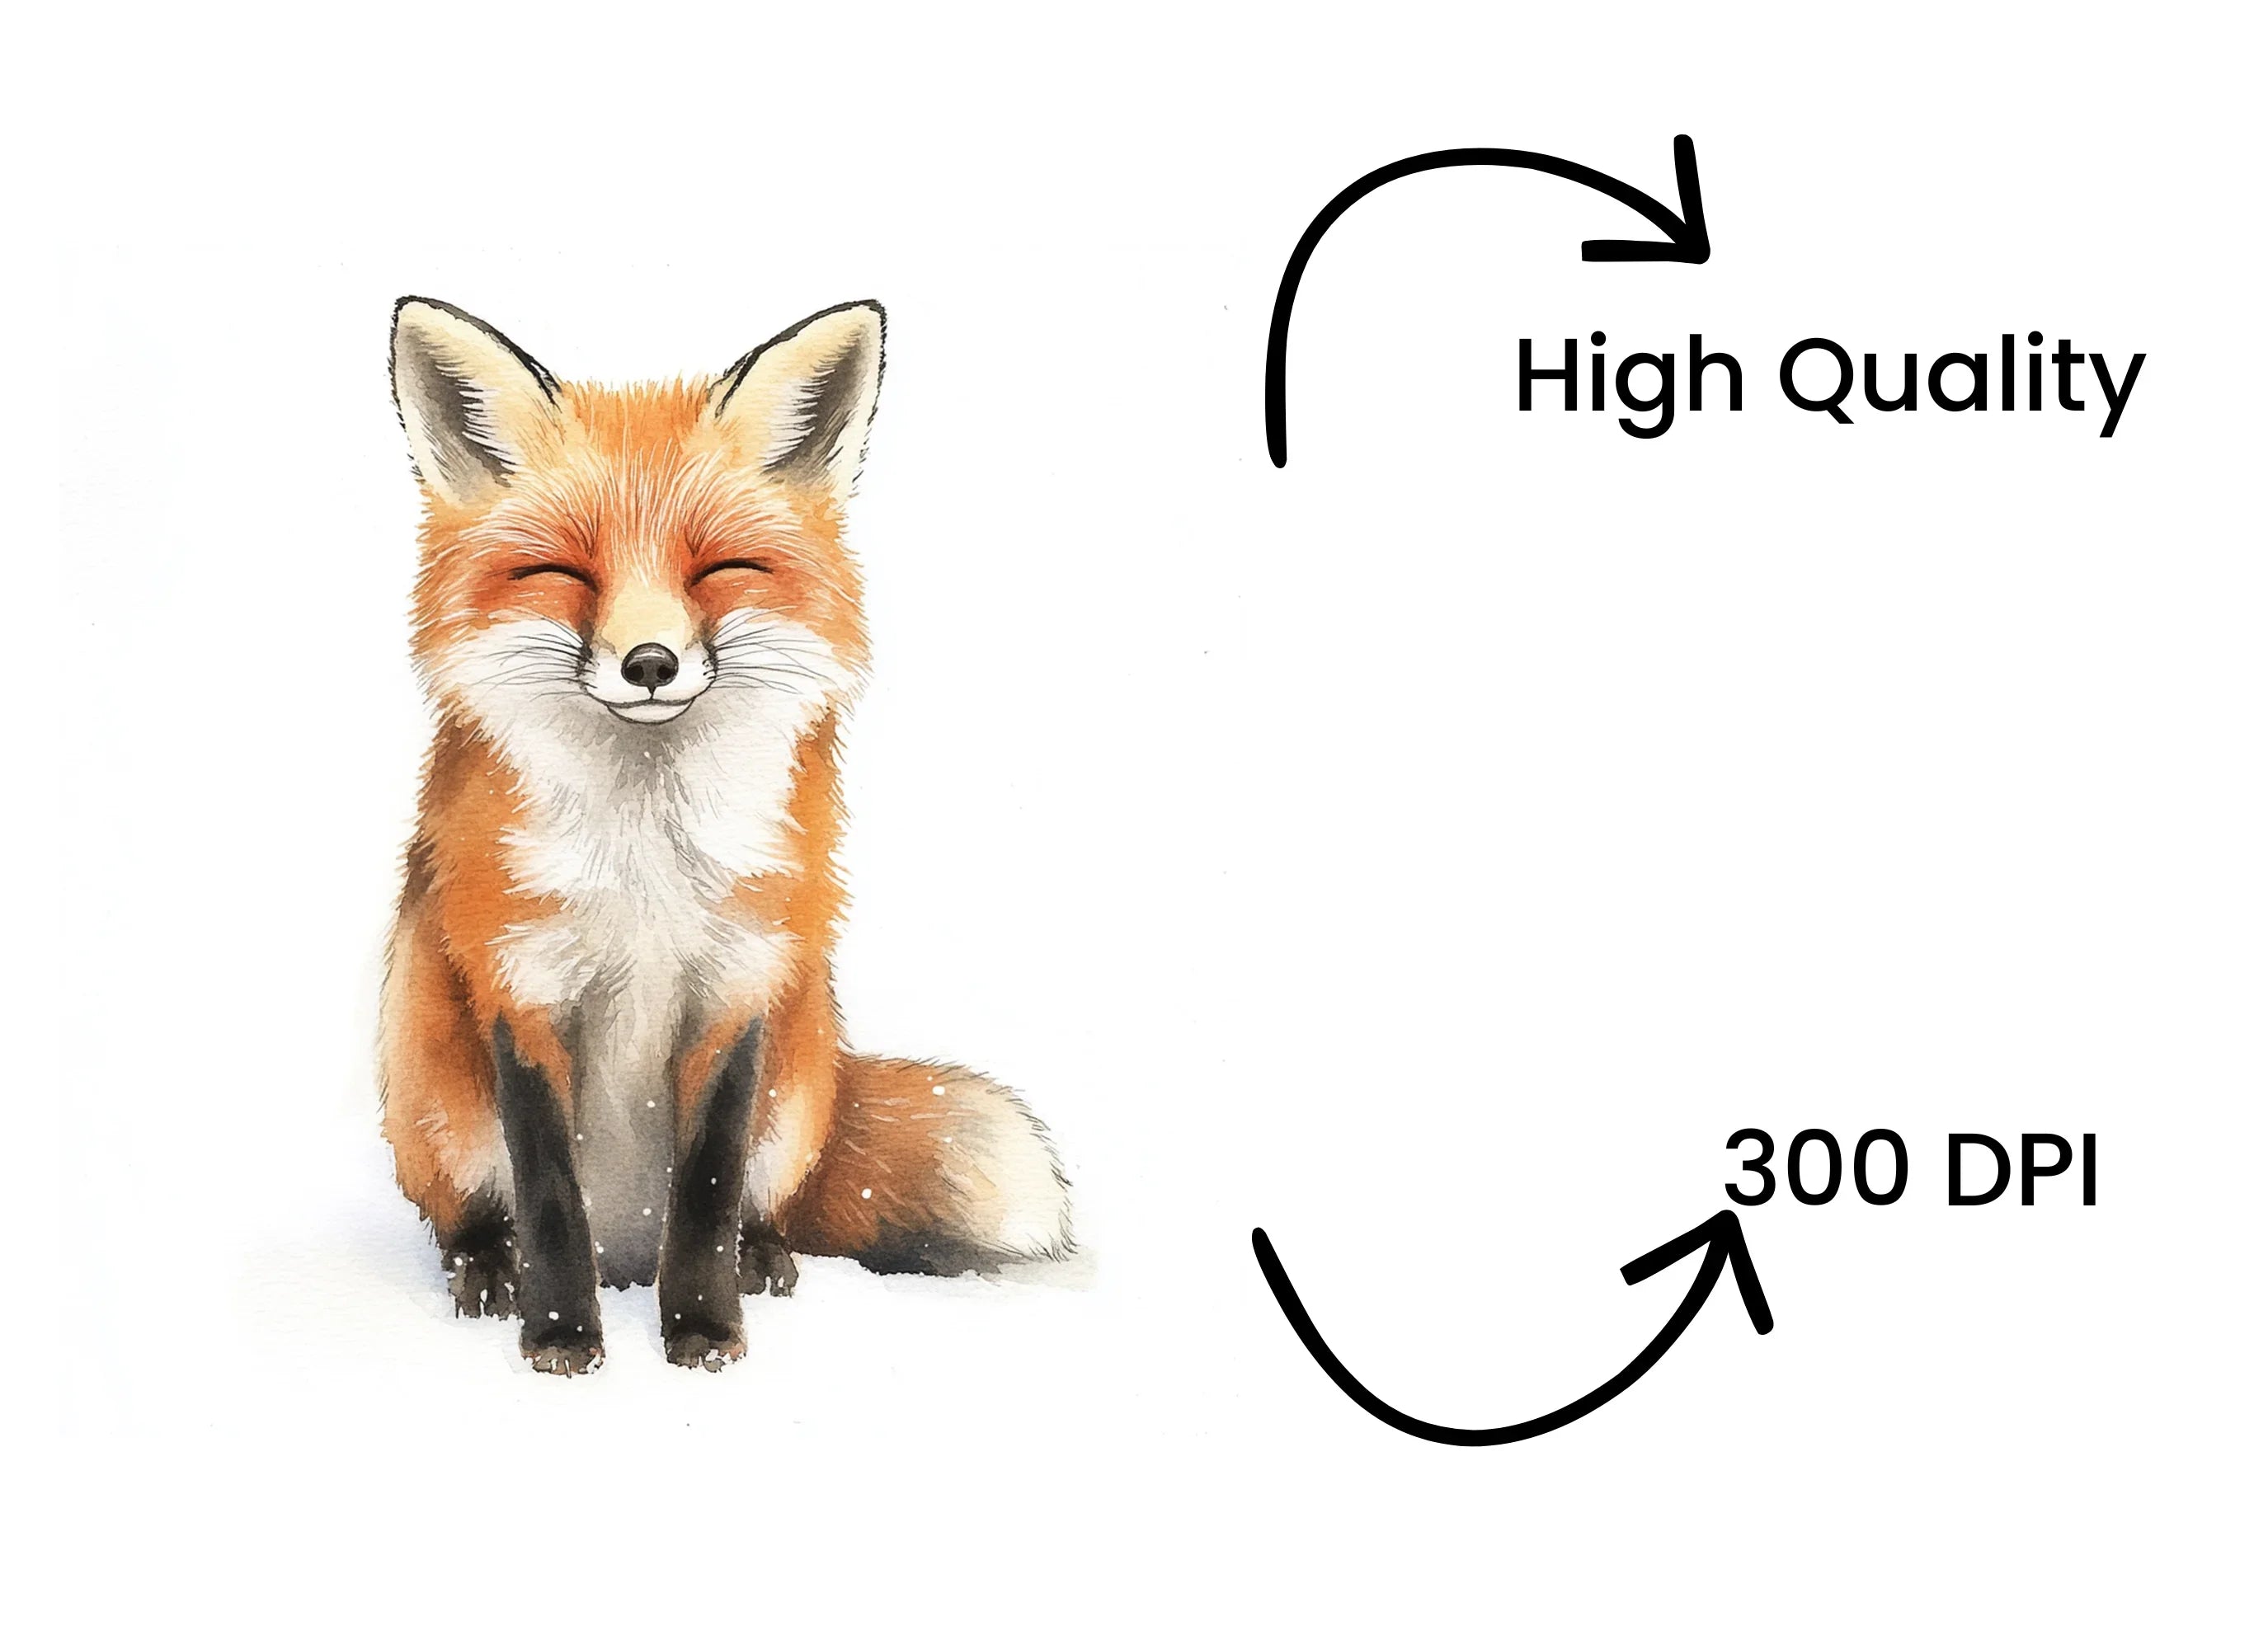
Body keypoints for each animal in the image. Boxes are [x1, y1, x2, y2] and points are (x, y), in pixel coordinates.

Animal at [378, 297, 1070, 1374]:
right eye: (562, 570)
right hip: (428, 1082)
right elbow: (547, 1194)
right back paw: (485, 1267)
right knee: (475, 1211)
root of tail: (628, 1254)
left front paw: (704, 1329)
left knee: (754, 1203)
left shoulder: (739, 979)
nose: (650, 662)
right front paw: (562, 1337)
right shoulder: (519, 982)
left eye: (720, 567)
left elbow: (706, 1188)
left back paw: (764, 1257)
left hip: (799, 1080)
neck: (645, 862)